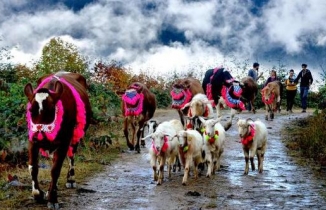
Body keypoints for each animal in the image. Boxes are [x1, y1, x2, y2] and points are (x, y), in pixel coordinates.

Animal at [24, 71, 91, 209]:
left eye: (51, 109)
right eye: (30, 110)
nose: (39, 136)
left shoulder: (64, 141)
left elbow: (55, 170)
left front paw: (53, 199)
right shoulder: (32, 141)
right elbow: (33, 167)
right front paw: (38, 194)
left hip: (75, 135)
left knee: (71, 156)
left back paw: (70, 179)